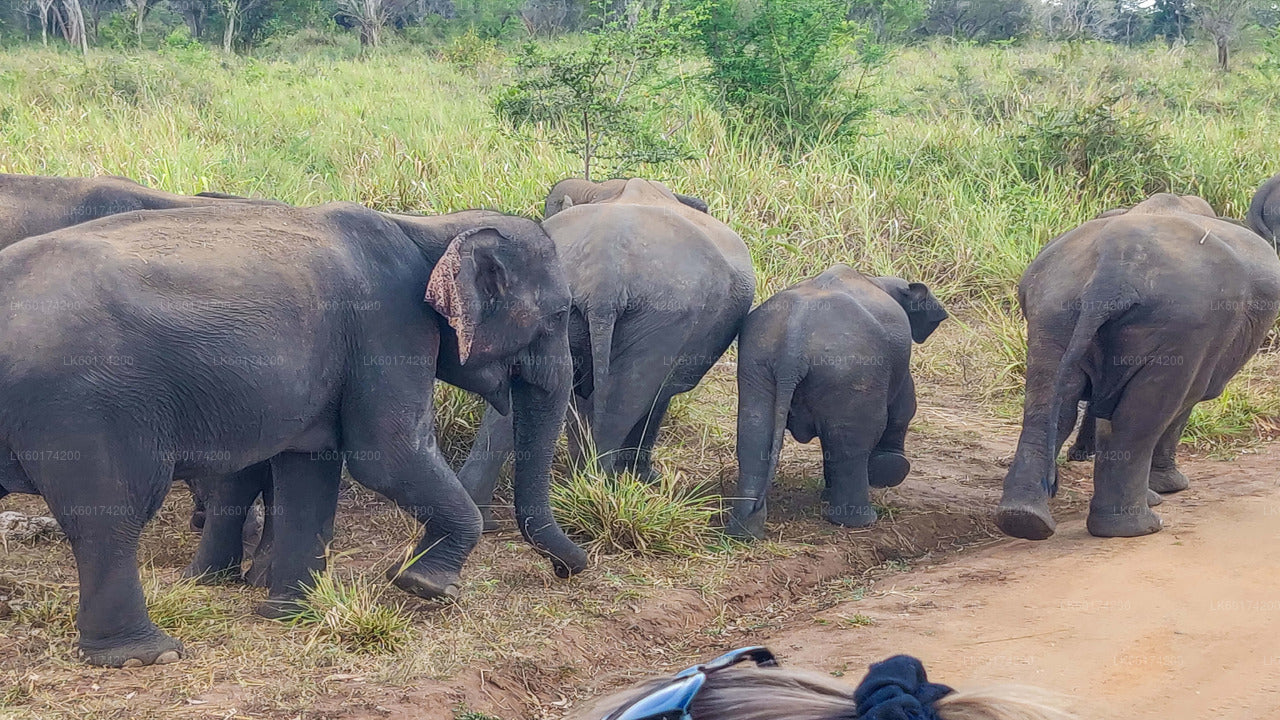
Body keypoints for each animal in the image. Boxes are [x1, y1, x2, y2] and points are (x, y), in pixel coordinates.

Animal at [0, 198, 586, 666]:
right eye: (559, 315)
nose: (573, 569)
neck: (431, 227)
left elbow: (312, 464)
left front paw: (288, 614)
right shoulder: (388, 326)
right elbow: (387, 457)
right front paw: (425, 585)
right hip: (87, 405)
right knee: (111, 514)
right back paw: (146, 656)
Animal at [458, 176, 752, 525]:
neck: (604, 188)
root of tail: (603, 276)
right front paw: (643, 478)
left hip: (545, 306)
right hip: (666, 315)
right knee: (627, 398)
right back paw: (599, 487)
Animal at [727, 265, 947, 538]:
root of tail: (793, 345)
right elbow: (904, 406)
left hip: (758, 364)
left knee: (755, 435)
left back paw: (744, 531)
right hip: (850, 368)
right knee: (852, 443)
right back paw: (860, 521)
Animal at [998, 190, 1280, 538]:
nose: (1079, 454)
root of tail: (1110, 273)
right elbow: (1181, 404)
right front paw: (1168, 489)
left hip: (1054, 306)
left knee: (1051, 402)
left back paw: (1023, 520)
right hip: (1182, 323)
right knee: (1143, 416)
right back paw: (1138, 527)